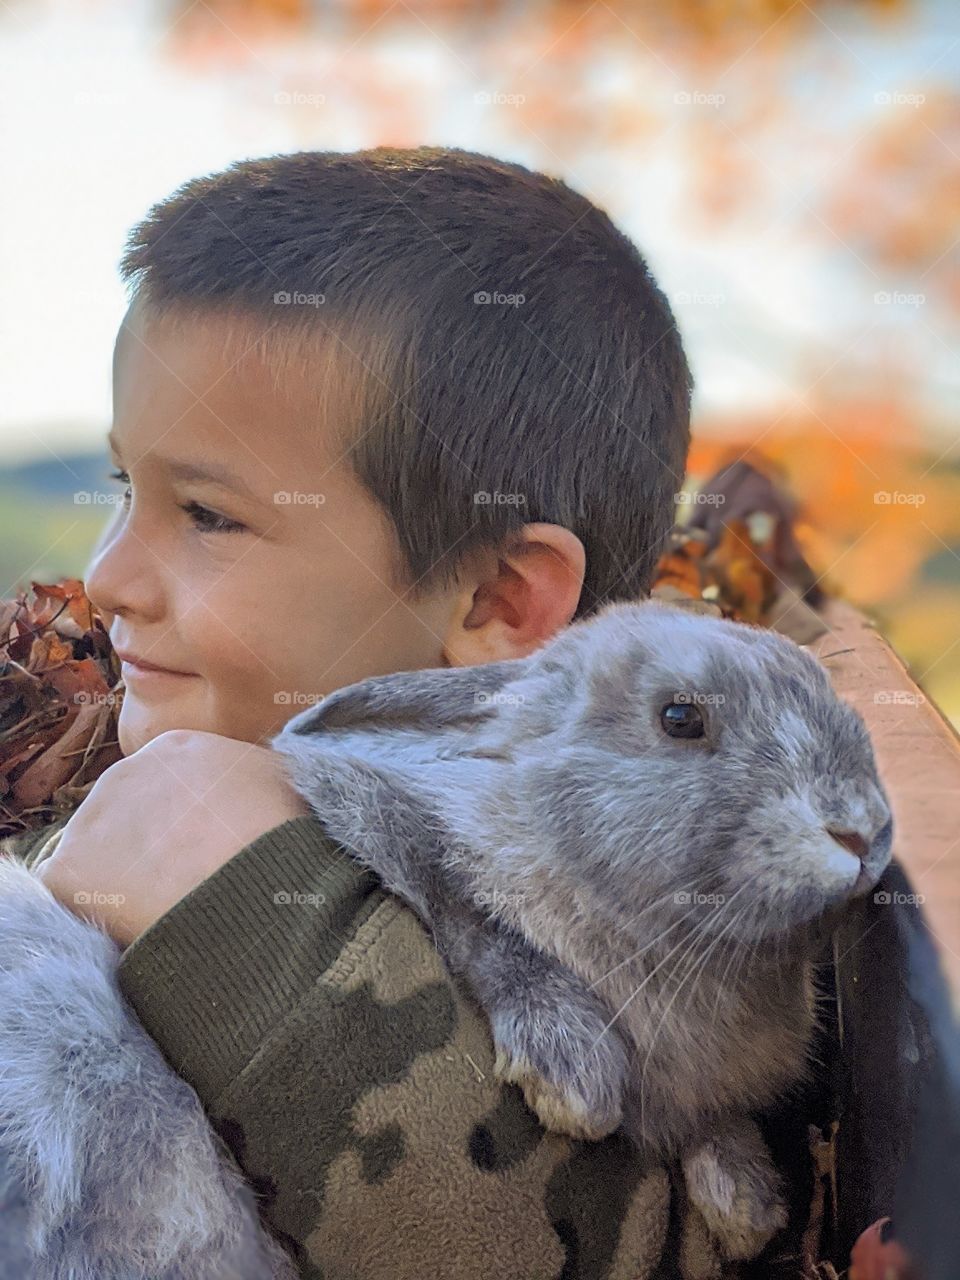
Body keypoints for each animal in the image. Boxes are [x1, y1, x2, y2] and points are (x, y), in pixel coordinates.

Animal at [271, 598, 894, 1263]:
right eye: (679, 717)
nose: (864, 831)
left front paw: (746, 1207)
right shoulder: (394, 832)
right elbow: (470, 918)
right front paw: (572, 1082)